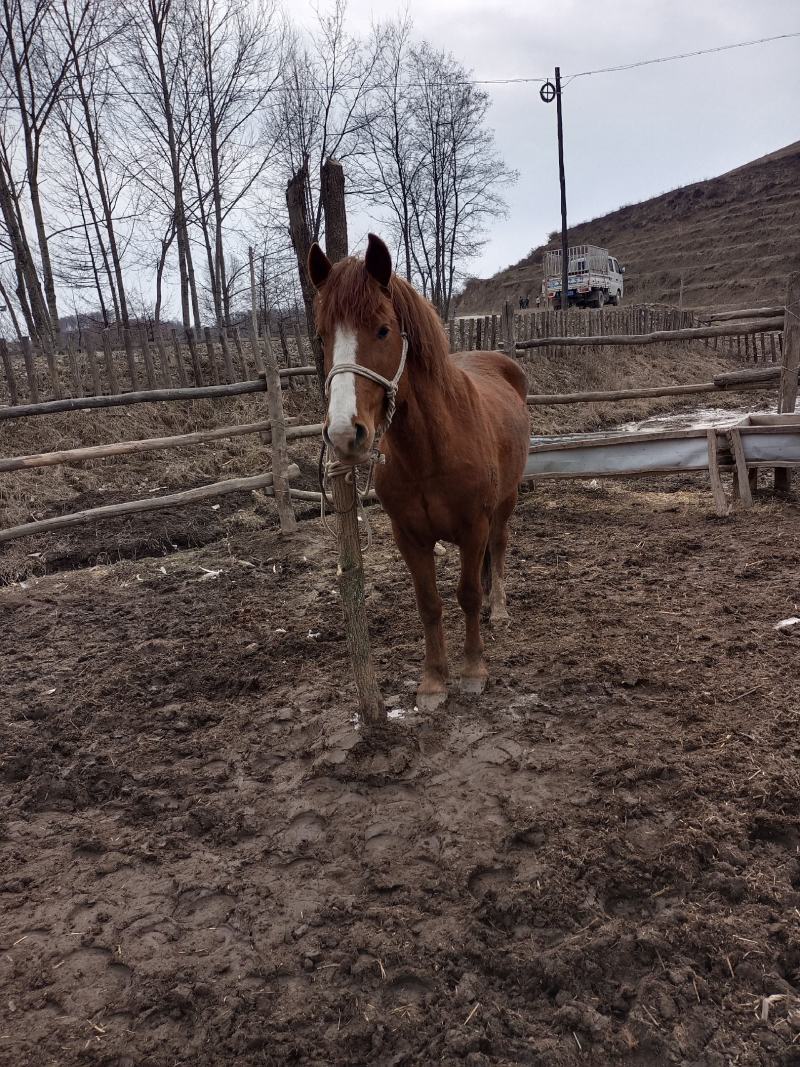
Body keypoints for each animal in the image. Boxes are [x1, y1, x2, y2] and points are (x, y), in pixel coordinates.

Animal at [309, 234, 530, 710]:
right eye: (321, 336)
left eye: (382, 329)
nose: (344, 433)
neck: (431, 451)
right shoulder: (408, 536)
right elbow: (428, 603)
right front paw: (432, 682)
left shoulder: (473, 526)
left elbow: (468, 595)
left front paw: (473, 671)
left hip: (506, 502)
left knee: (500, 547)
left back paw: (500, 608)